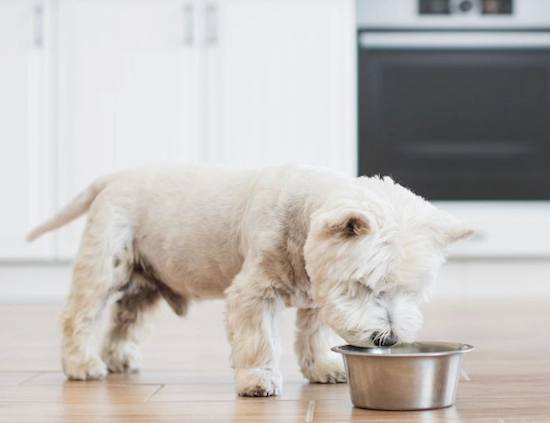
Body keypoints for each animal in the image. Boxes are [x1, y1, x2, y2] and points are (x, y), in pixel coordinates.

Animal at [27, 165, 474, 398]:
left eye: (412, 292)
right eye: (366, 286)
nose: (388, 339)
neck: (303, 214)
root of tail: (114, 177)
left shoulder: (319, 297)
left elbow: (313, 336)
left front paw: (323, 367)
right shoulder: (252, 293)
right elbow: (259, 339)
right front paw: (258, 380)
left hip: (145, 279)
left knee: (127, 316)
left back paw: (119, 358)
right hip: (106, 263)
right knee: (80, 315)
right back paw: (83, 364)